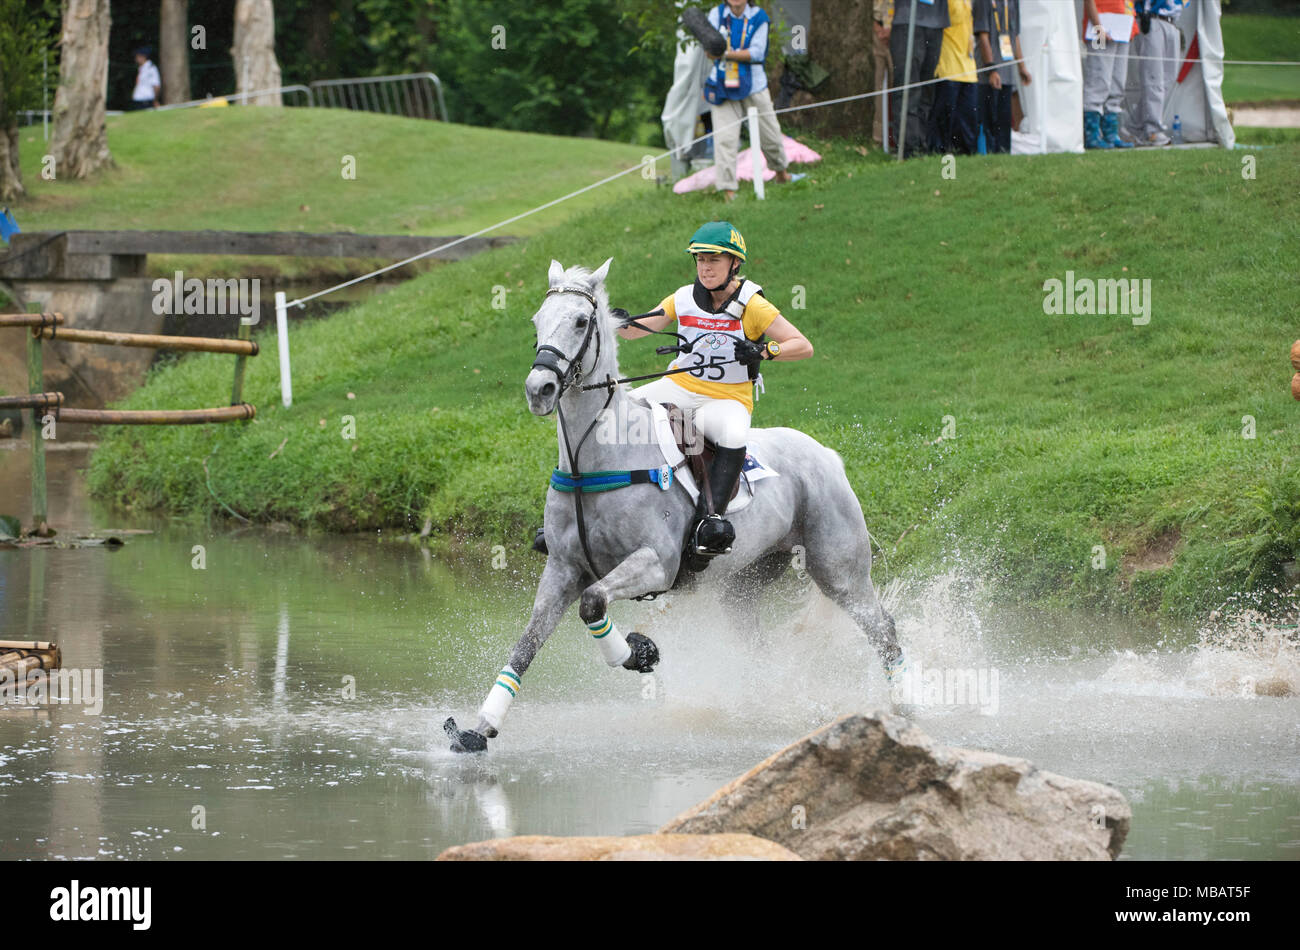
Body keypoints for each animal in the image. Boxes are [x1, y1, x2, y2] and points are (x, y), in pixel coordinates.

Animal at [447, 258, 904, 748]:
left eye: (582, 321)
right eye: (537, 321)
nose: (540, 389)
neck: (598, 456)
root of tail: (827, 455)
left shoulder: (657, 563)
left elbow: (593, 603)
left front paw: (639, 652)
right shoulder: (563, 568)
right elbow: (528, 642)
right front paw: (479, 729)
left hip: (840, 571)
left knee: (884, 630)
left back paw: (903, 708)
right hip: (744, 585)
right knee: (758, 646)